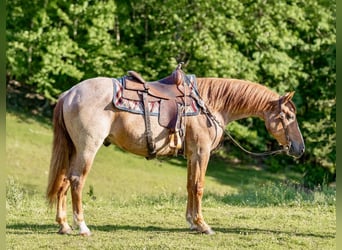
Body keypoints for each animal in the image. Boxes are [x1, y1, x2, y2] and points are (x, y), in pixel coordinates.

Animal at [46, 71, 304, 236]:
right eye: (289, 116)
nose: (300, 148)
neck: (210, 104)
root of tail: (70, 93)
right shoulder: (201, 152)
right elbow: (199, 187)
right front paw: (203, 225)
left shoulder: (192, 155)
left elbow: (190, 186)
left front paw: (191, 222)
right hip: (88, 147)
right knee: (77, 180)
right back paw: (82, 227)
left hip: (74, 149)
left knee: (64, 180)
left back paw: (64, 225)